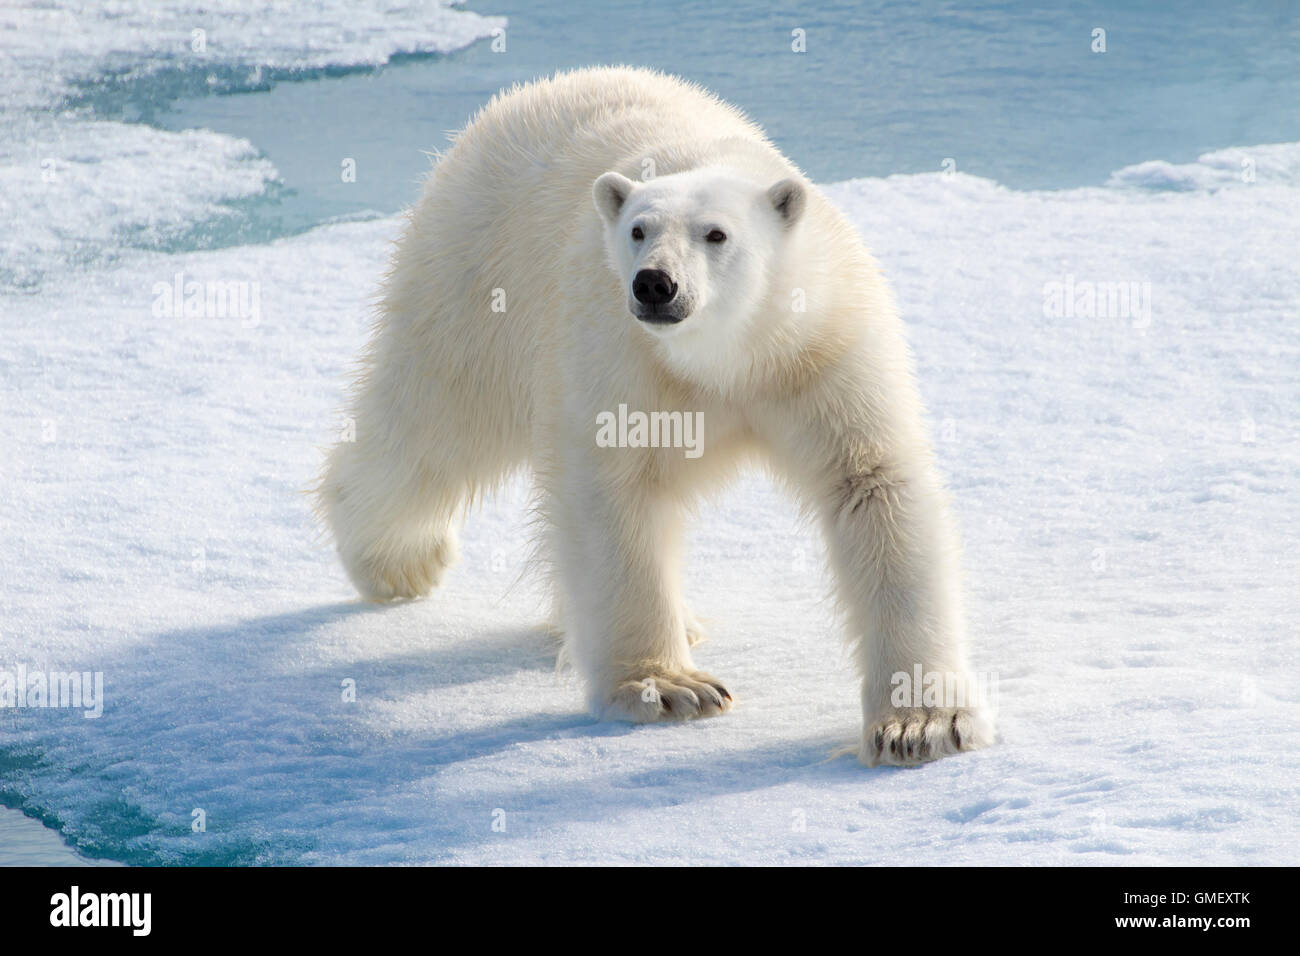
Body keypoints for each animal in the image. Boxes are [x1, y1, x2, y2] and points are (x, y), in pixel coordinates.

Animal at [317, 65, 993, 770]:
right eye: (639, 230)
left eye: (716, 233)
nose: (655, 285)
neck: (728, 354)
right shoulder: (619, 353)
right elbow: (611, 490)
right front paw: (670, 688)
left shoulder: (819, 348)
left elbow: (871, 483)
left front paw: (922, 724)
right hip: (478, 270)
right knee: (437, 417)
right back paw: (400, 560)